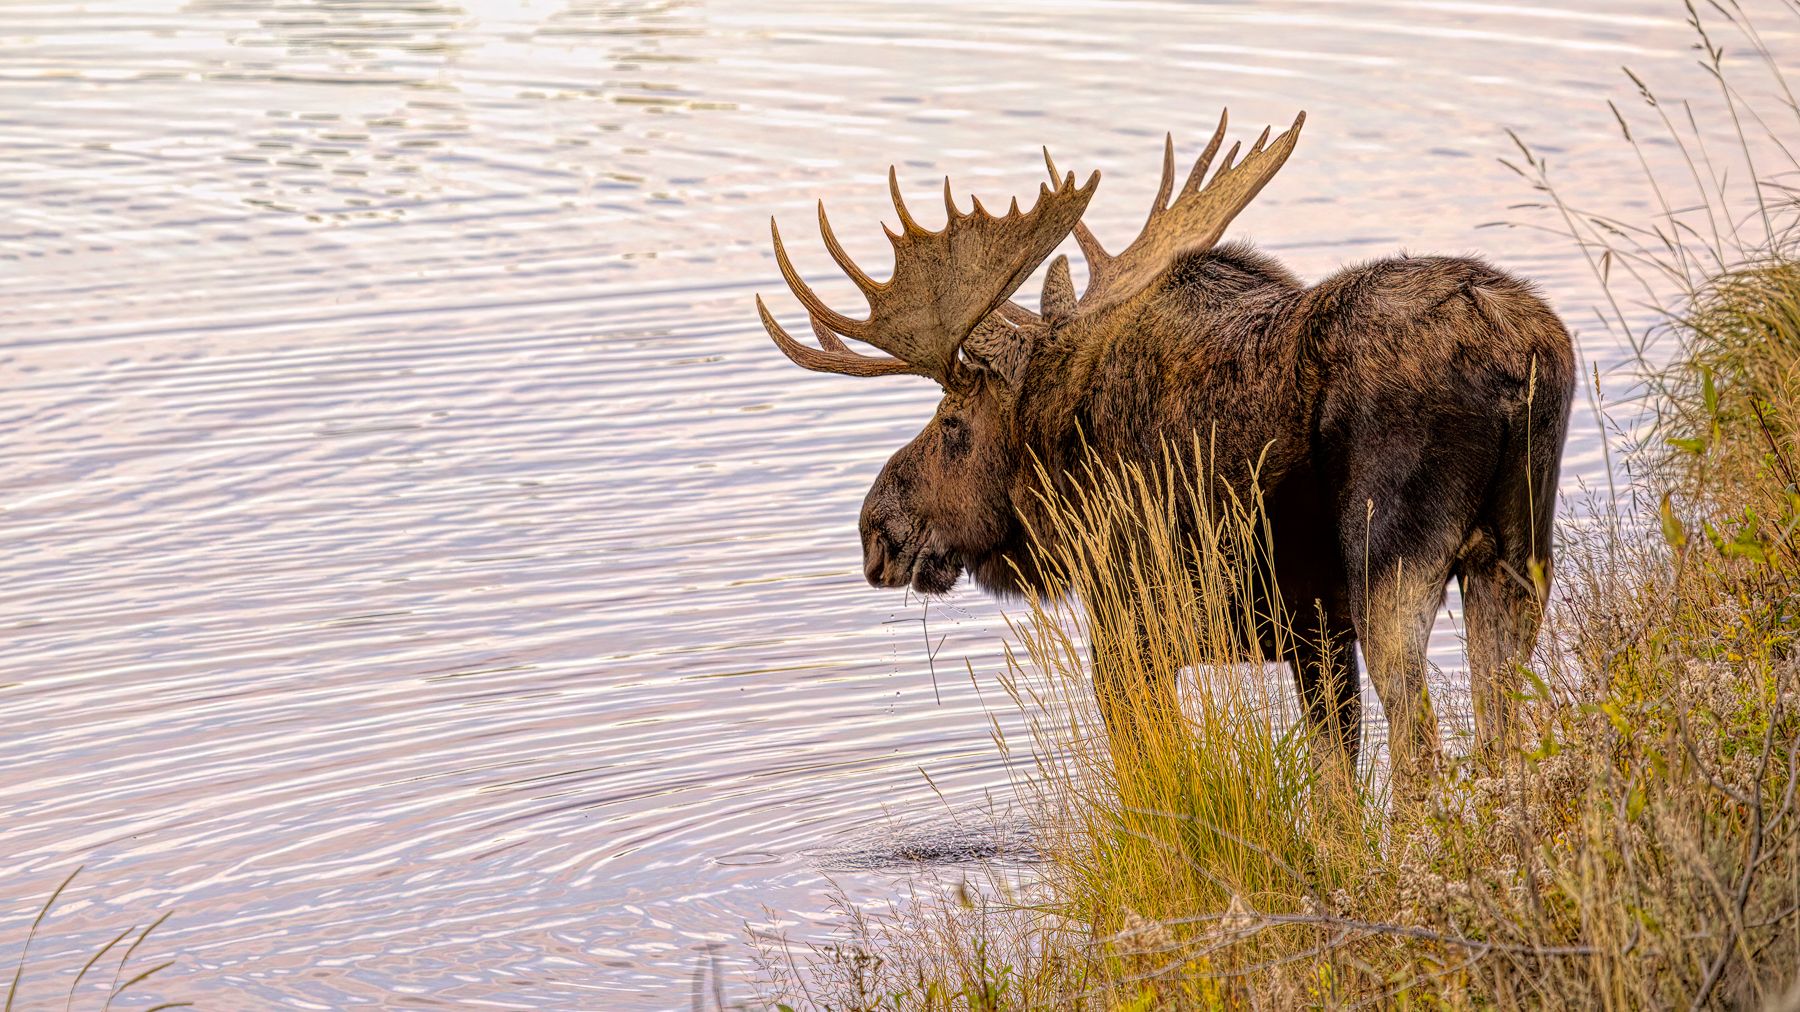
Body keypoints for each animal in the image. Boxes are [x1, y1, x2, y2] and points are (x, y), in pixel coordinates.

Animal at [754, 110, 1575, 792]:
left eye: (953, 421)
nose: (876, 530)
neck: (1059, 456)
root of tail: (1518, 359)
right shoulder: (1315, 634)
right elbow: (1338, 791)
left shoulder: (1132, 630)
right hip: (1515, 563)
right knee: (1502, 738)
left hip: (1391, 569)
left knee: (1421, 751)